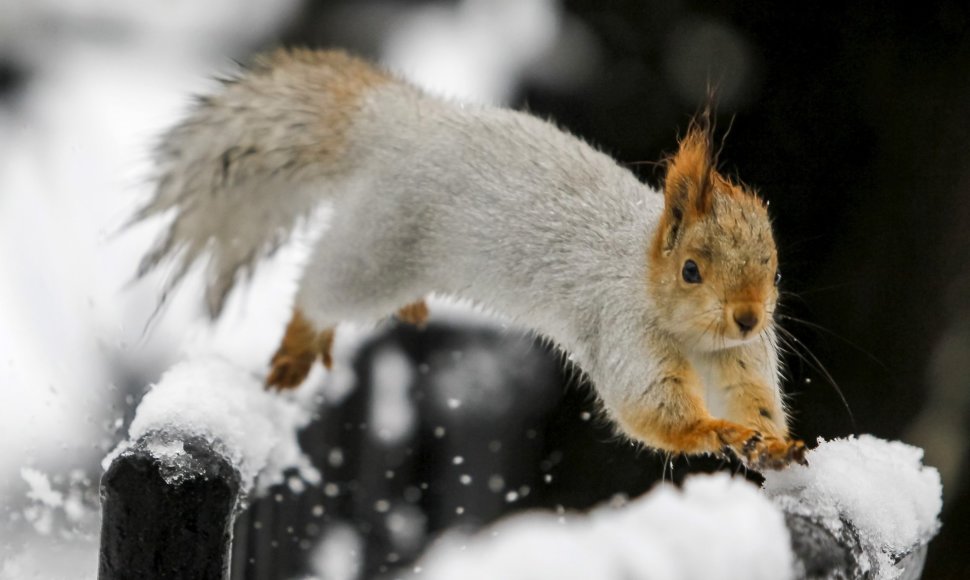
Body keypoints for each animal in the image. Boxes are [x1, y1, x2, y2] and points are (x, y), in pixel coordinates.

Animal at [134, 47, 800, 468]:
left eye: (773, 268)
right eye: (690, 270)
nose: (747, 316)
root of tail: (400, 124)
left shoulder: (744, 357)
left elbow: (756, 401)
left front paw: (770, 442)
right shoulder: (625, 331)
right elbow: (650, 409)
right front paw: (715, 429)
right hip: (376, 248)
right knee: (319, 291)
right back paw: (301, 342)